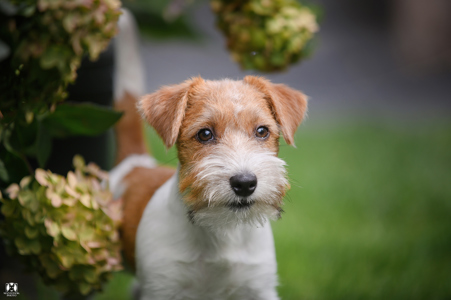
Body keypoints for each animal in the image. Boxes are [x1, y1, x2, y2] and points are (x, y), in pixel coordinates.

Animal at [110, 74, 308, 298]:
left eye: (262, 131)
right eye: (205, 134)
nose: (245, 183)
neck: (224, 230)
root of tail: (136, 163)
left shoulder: (259, 287)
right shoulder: (162, 287)